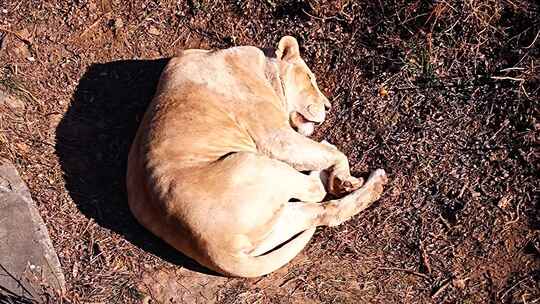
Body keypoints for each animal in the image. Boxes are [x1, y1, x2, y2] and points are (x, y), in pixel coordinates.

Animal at [126, 36, 388, 278]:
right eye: (310, 78)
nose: (328, 106)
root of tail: (212, 250)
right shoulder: (274, 136)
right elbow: (333, 155)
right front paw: (344, 178)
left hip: (272, 225)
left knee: (319, 211)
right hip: (253, 164)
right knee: (318, 193)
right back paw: (363, 178)